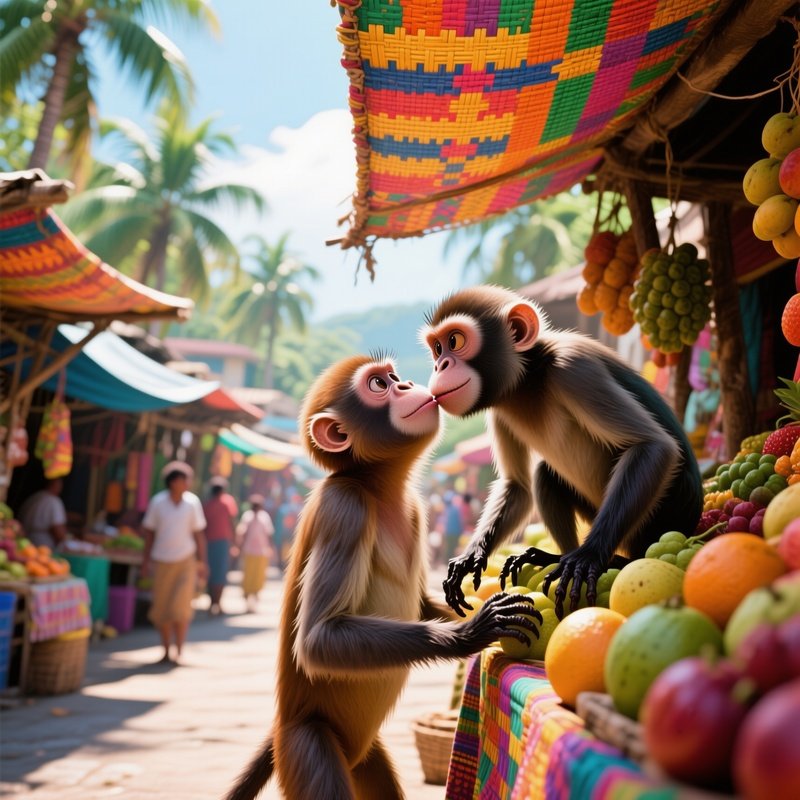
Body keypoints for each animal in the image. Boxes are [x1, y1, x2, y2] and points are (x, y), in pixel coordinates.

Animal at [225, 354, 540, 800]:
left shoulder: (415, 508)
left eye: (393, 377)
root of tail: (281, 728)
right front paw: (473, 631)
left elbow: (419, 604)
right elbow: (319, 638)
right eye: (379, 385)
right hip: (305, 743)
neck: (375, 486)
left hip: (365, 757)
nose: (406, 384)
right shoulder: (346, 508)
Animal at [420, 285, 703, 618]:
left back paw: (608, 559)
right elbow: (518, 485)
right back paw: (556, 558)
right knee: (544, 473)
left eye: (454, 341)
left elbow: (653, 446)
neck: (529, 378)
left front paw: (588, 556)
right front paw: (472, 555)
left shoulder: (574, 369)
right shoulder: (500, 407)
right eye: (438, 349)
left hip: (656, 519)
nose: (440, 365)